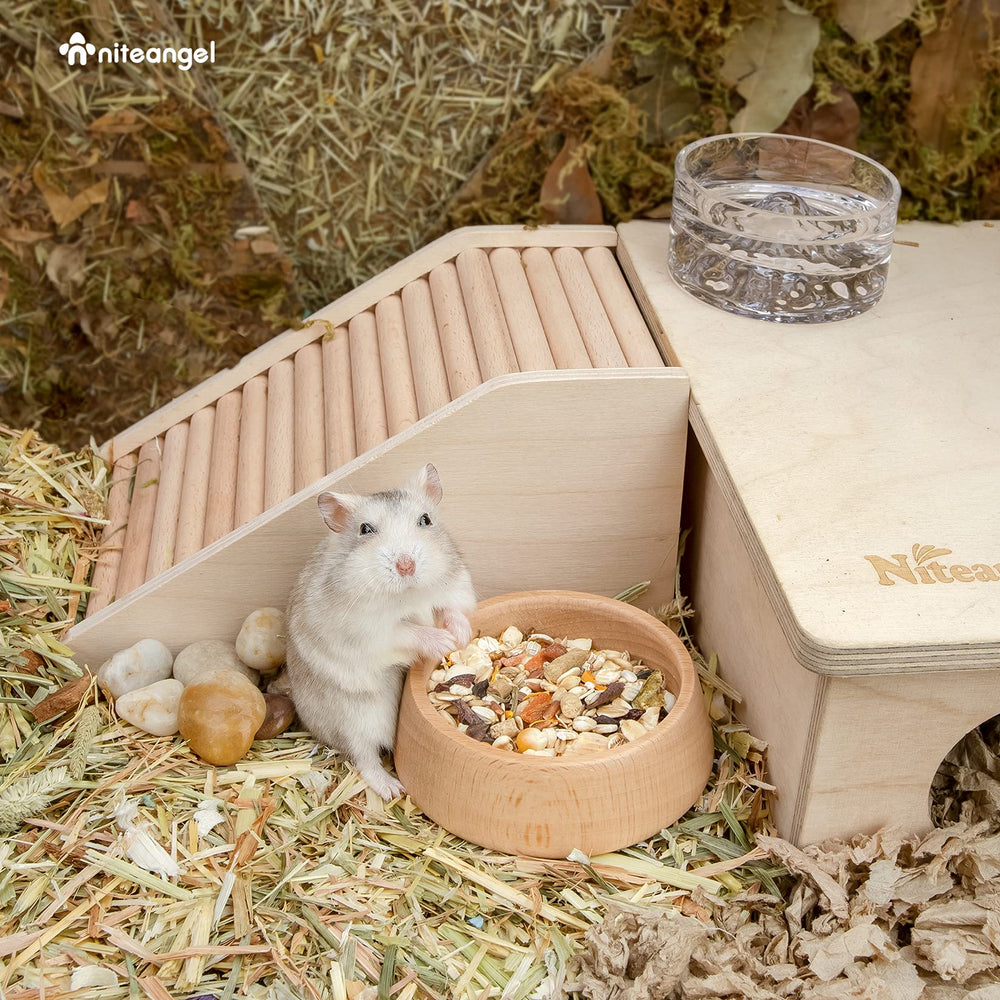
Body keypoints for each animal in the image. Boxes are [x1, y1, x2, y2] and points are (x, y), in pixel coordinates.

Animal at [285, 463, 475, 800]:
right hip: (355, 719)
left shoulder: (454, 589)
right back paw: (392, 790)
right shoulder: (373, 631)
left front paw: (460, 636)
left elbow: (450, 610)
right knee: (364, 758)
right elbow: (409, 631)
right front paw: (443, 642)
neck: (408, 594)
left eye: (425, 520)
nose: (406, 566)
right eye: (365, 529)